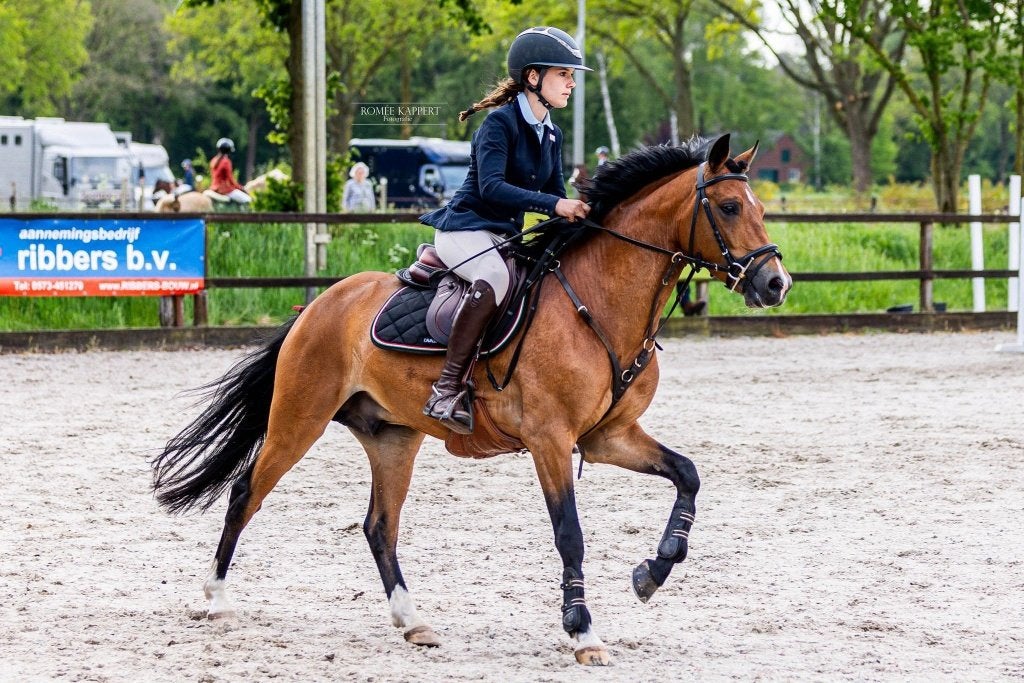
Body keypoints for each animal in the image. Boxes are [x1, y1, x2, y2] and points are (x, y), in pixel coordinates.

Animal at [150, 134, 791, 666]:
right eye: (729, 208)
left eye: (760, 208)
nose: (776, 284)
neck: (601, 302)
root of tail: (320, 303)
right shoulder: (550, 440)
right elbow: (570, 533)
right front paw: (582, 631)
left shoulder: (608, 437)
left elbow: (688, 474)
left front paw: (653, 571)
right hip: (299, 417)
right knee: (246, 493)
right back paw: (216, 598)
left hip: (392, 437)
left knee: (380, 526)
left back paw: (413, 621)